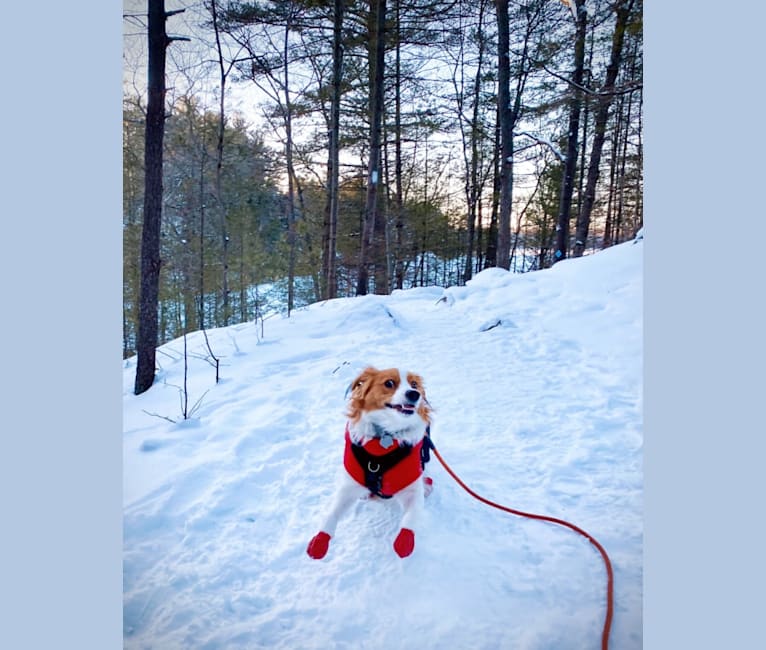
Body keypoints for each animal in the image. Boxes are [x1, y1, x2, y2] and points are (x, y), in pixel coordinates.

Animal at [308, 364, 436, 556]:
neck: (385, 436)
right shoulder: (349, 485)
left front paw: (405, 541)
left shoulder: (411, 487)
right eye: (389, 383)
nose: (414, 394)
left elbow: (411, 517)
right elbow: (332, 513)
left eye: (414, 384)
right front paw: (320, 540)